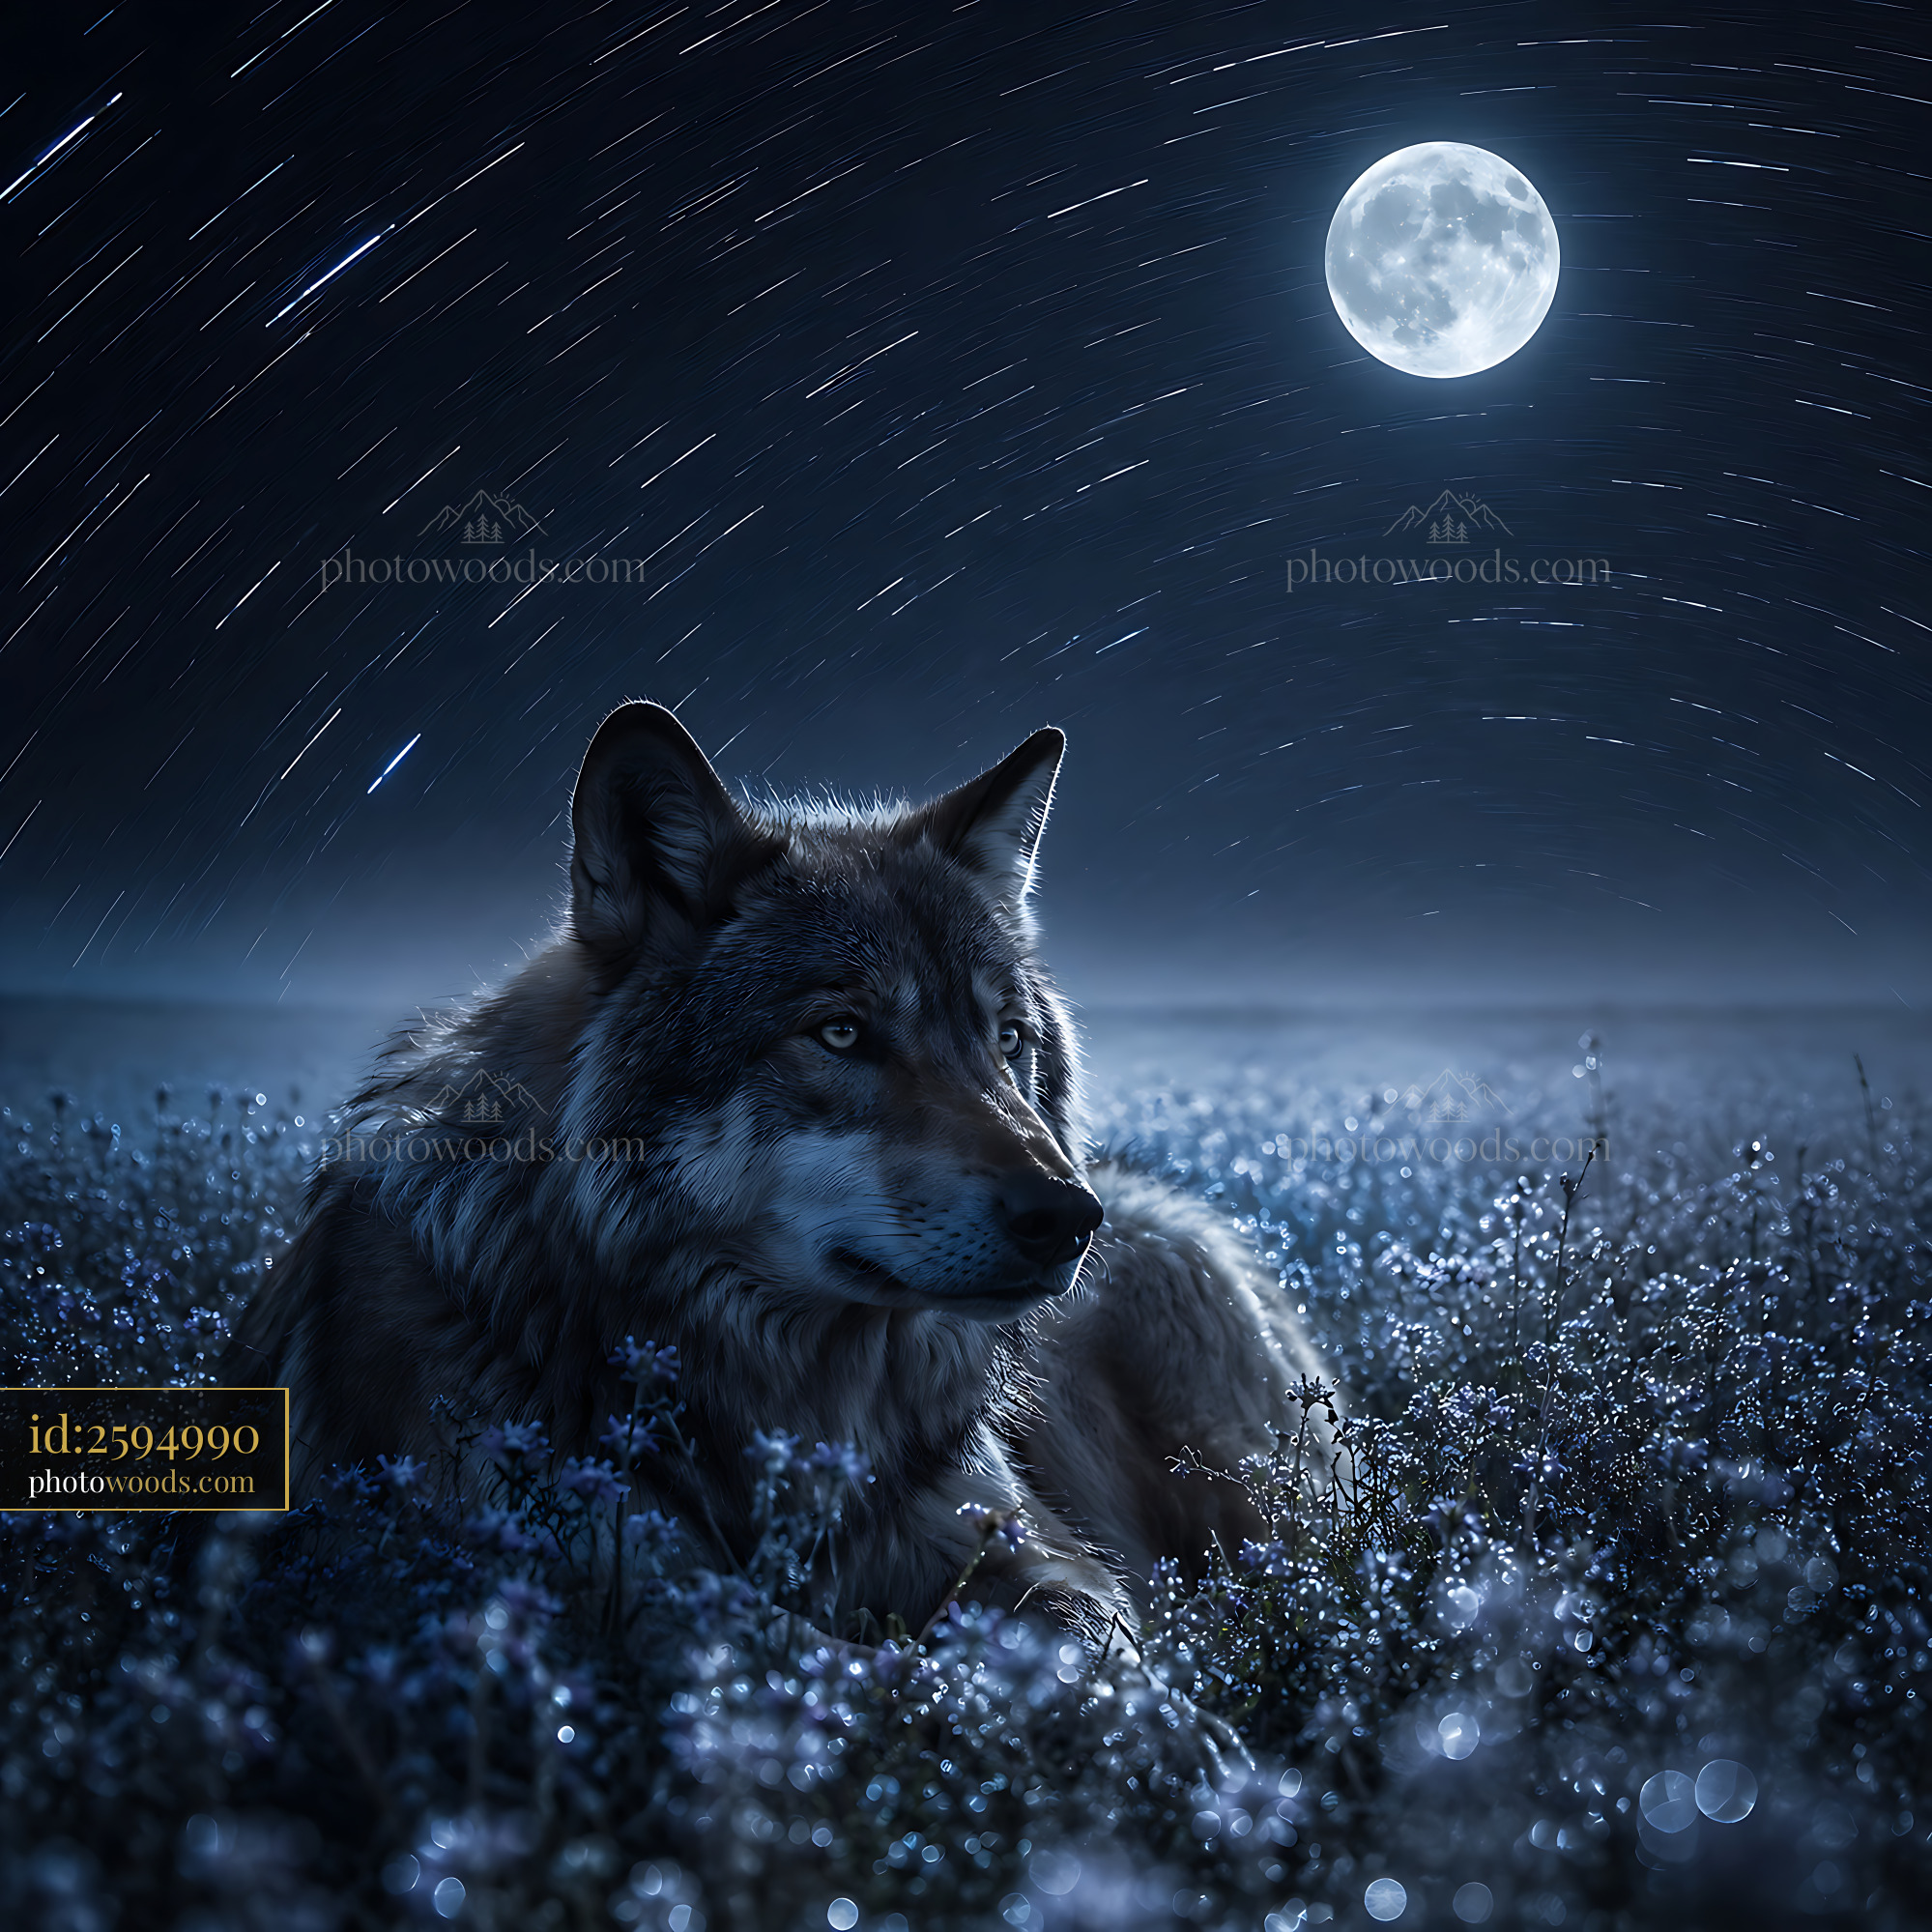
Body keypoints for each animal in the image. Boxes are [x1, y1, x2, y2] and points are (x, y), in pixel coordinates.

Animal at [234, 702, 1332, 1642]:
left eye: (1007, 1038)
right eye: (840, 1033)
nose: (1068, 1217)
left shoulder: (1038, 1555)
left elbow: (1090, 1655)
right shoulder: (610, 1586)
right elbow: (821, 1662)